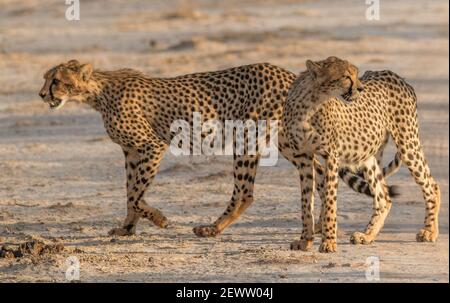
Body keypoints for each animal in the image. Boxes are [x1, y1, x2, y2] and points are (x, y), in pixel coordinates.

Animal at [37, 60, 398, 238]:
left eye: (56, 80)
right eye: (46, 78)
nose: (41, 94)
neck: (96, 92)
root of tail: (285, 72)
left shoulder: (151, 146)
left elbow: (136, 194)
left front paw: (159, 219)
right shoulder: (131, 152)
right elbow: (130, 193)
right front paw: (127, 228)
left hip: (253, 138)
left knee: (247, 193)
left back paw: (213, 228)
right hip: (286, 142)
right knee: (321, 176)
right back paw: (320, 226)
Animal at [284, 55, 442, 253]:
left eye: (356, 74)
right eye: (346, 76)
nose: (360, 88)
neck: (311, 104)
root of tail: (397, 76)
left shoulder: (331, 157)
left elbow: (329, 202)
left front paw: (328, 242)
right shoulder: (303, 158)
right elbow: (306, 203)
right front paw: (305, 240)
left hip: (408, 144)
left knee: (432, 186)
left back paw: (430, 231)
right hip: (368, 157)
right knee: (384, 197)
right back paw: (367, 236)